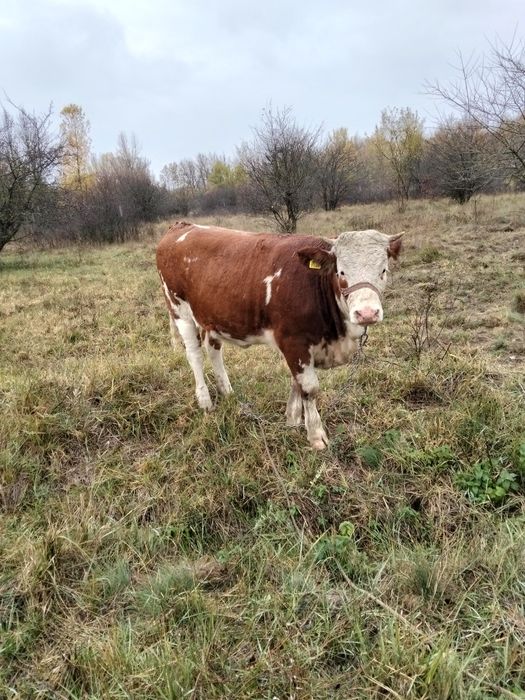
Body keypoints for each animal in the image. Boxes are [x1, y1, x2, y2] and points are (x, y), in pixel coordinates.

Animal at [156, 222, 402, 449]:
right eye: (341, 272)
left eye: (383, 270)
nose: (367, 313)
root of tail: (182, 226)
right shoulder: (294, 341)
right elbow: (309, 388)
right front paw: (316, 436)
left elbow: (297, 383)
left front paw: (292, 419)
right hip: (179, 309)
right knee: (195, 355)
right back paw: (205, 400)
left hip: (212, 317)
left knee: (213, 349)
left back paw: (227, 391)